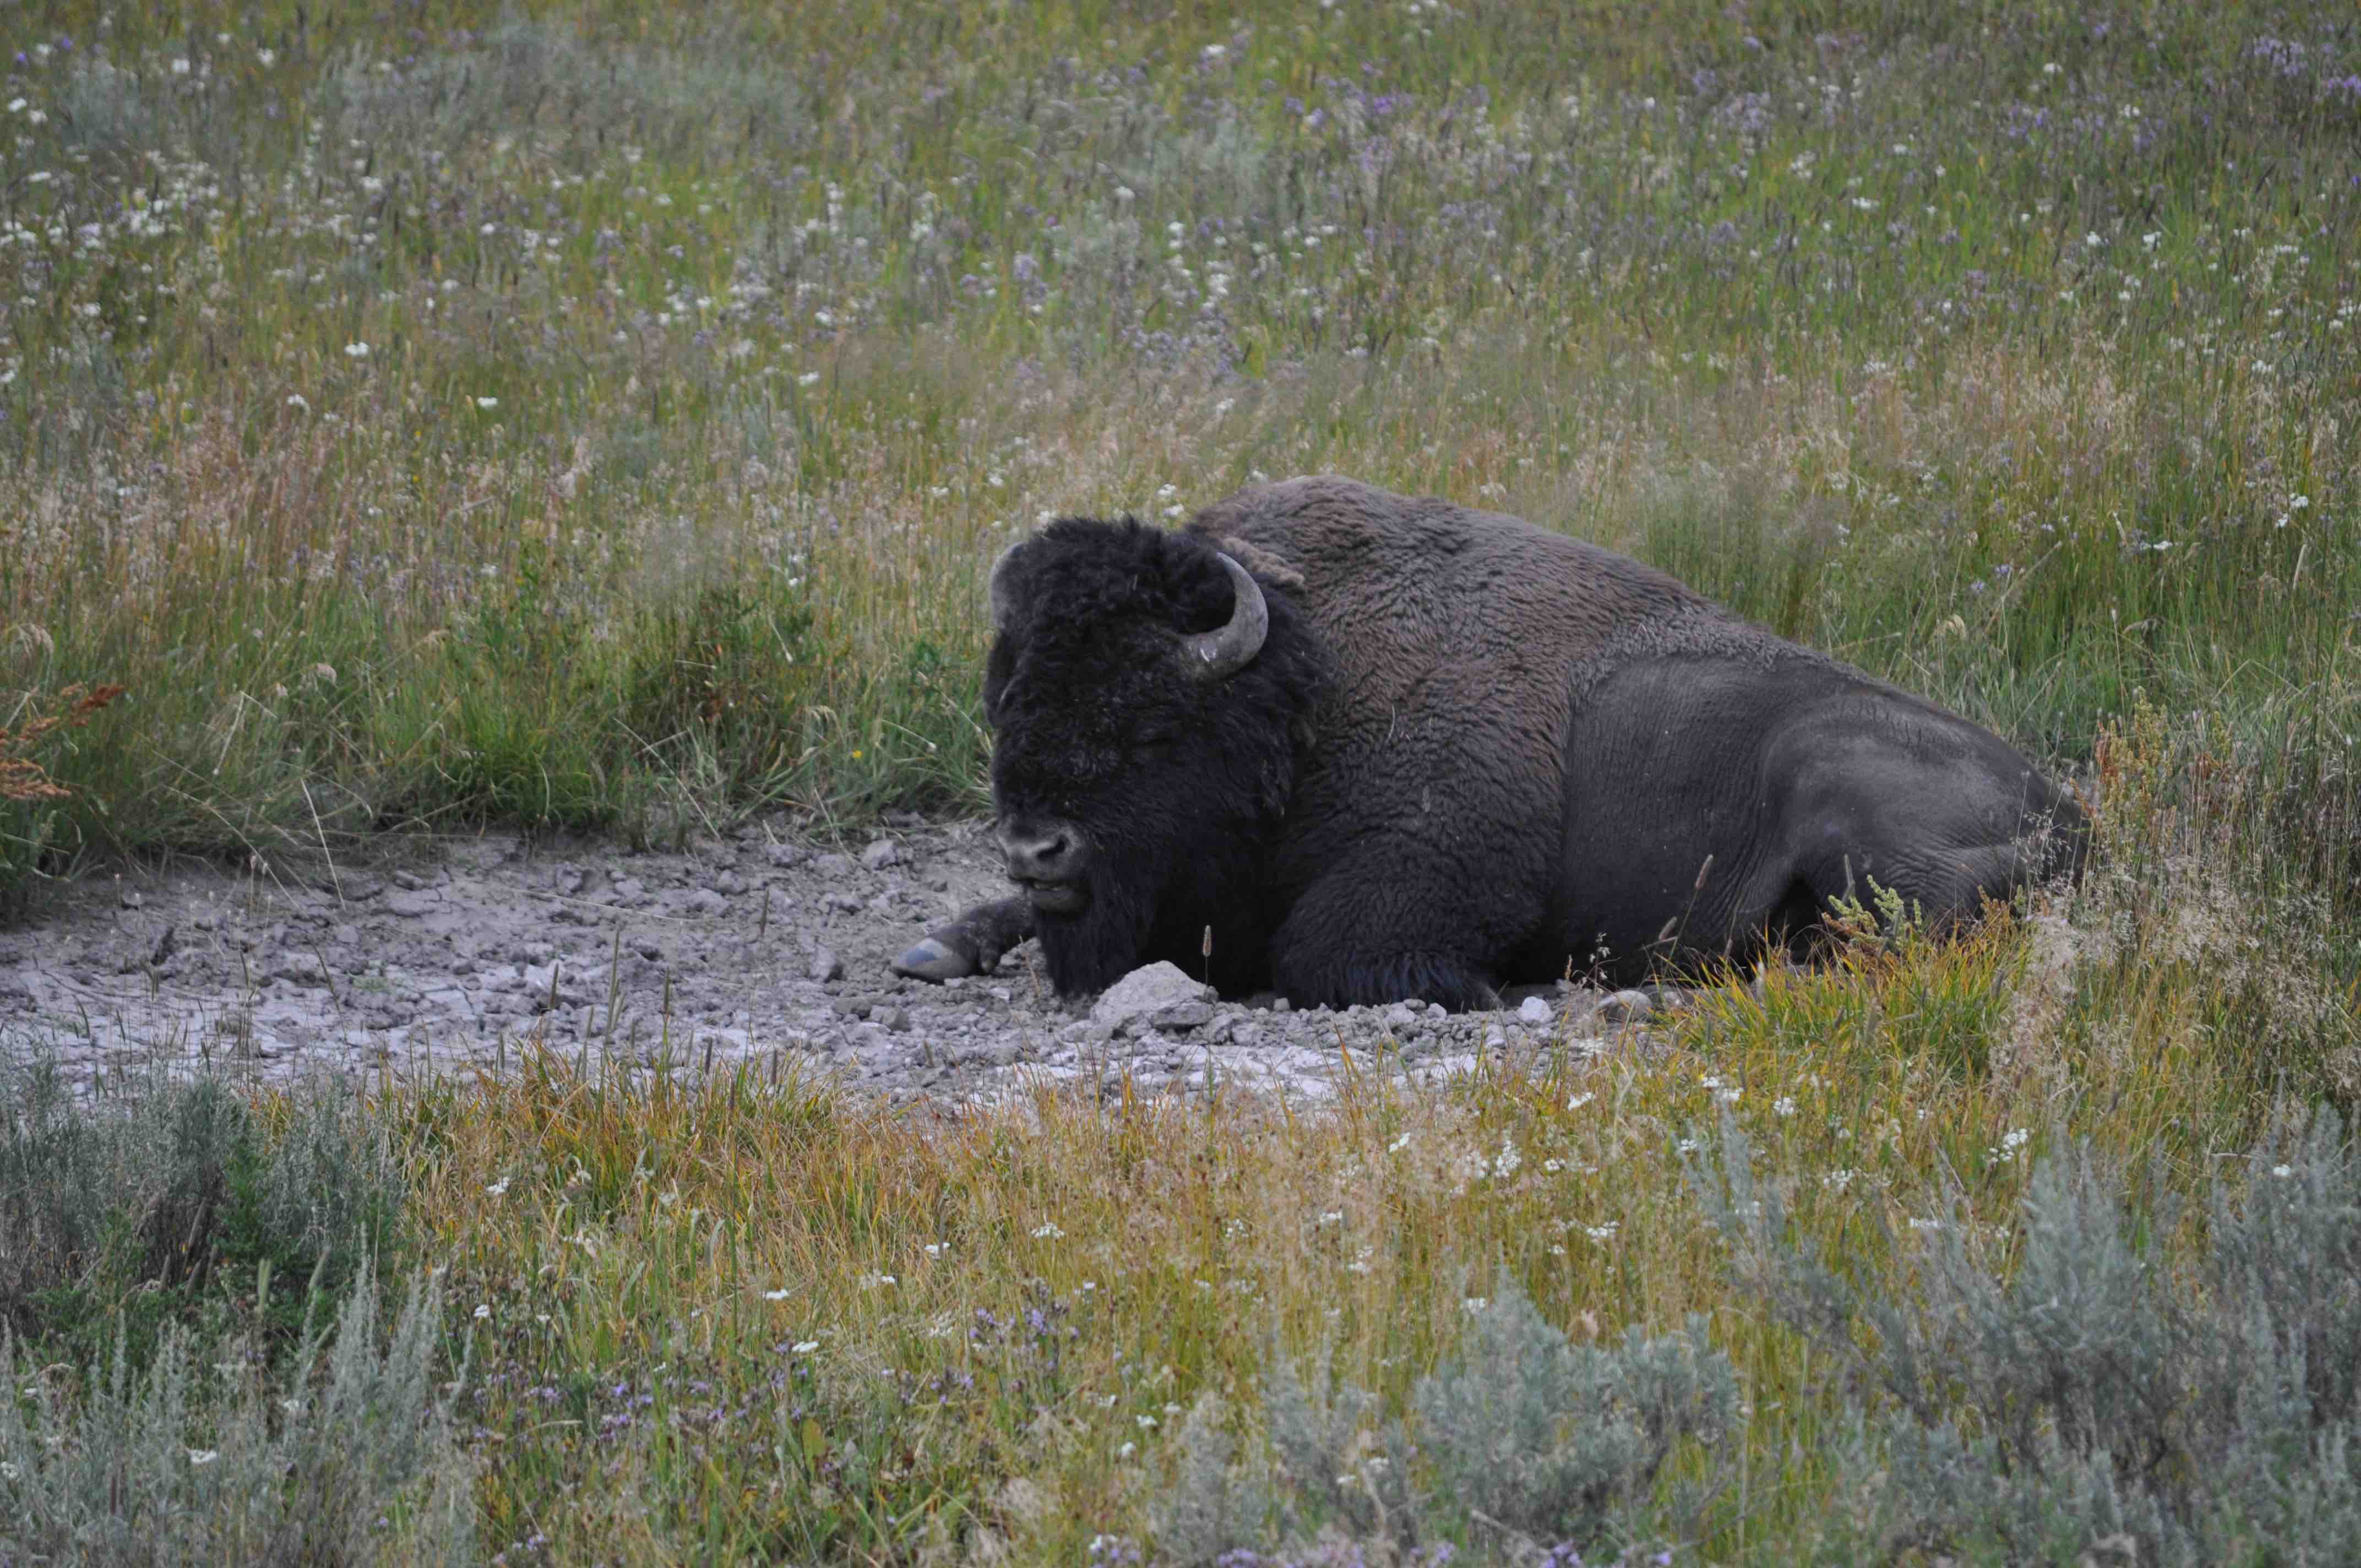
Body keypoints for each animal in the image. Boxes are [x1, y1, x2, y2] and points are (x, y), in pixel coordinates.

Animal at [894, 476, 2086, 1010]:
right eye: (1007, 701)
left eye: (1148, 720)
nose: (1037, 848)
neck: (1304, 693)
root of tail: (2068, 812)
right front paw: (941, 940)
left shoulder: (1428, 876)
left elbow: (1318, 951)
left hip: (1841, 793)